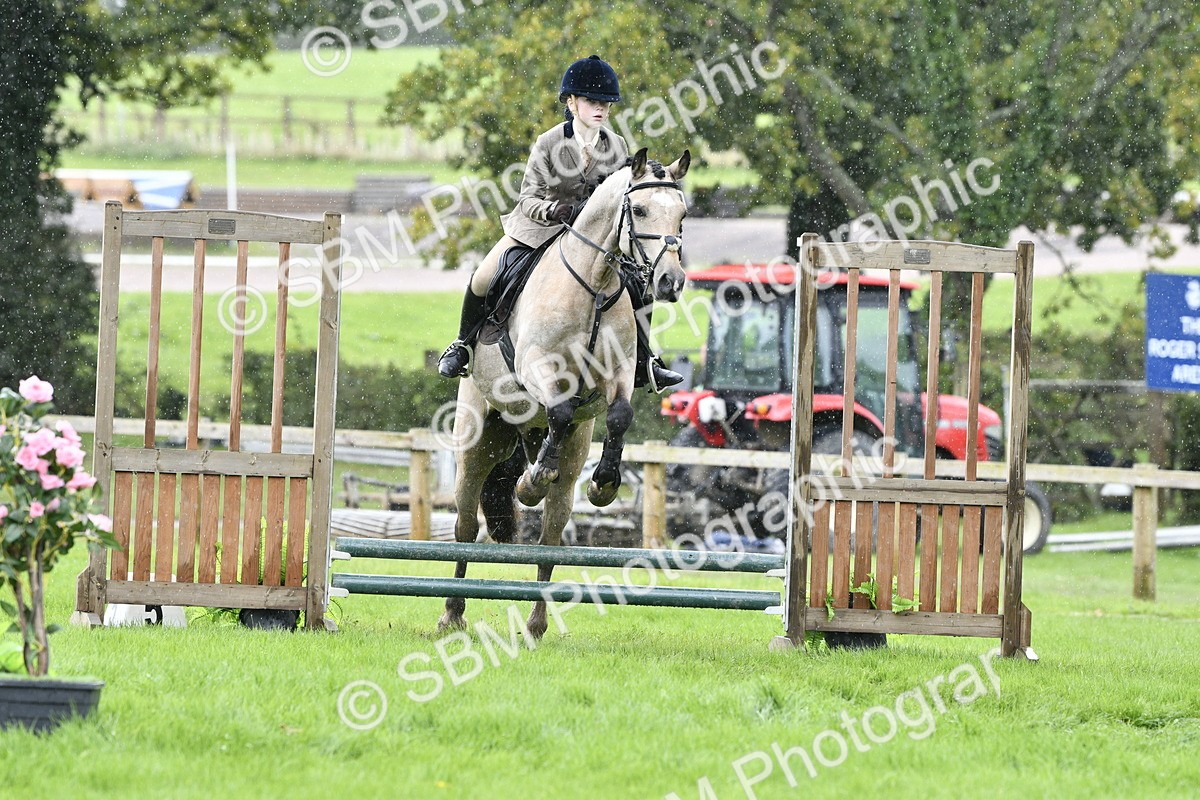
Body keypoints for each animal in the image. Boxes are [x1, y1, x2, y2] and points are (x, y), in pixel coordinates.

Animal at [440, 147, 691, 638]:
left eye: (682, 215)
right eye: (640, 210)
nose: (670, 282)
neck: (594, 282)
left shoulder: (616, 377)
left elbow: (619, 417)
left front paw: (605, 483)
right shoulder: (536, 368)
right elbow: (557, 409)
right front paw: (532, 482)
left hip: (568, 448)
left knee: (551, 535)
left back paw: (536, 622)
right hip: (477, 442)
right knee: (464, 526)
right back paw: (452, 612)